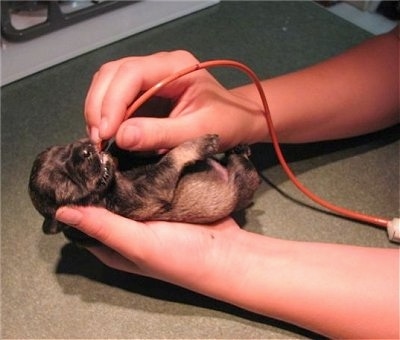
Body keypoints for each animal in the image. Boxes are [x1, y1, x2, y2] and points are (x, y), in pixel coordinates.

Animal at [28, 134, 260, 243]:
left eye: (63, 148)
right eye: (66, 181)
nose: (85, 149)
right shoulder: (147, 191)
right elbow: (171, 158)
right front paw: (200, 144)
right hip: (243, 179)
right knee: (244, 168)